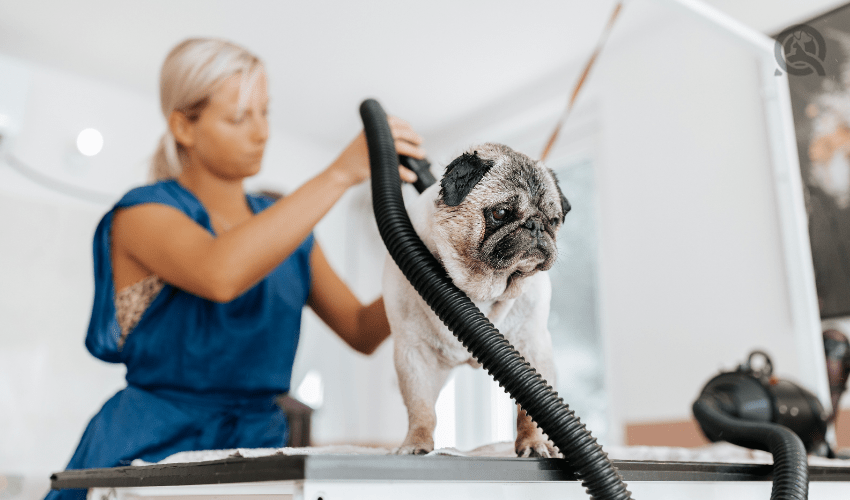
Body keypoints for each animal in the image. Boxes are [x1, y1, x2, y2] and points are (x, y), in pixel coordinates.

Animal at [382, 142, 568, 458]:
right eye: (501, 212)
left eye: (554, 221)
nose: (535, 225)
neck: (482, 287)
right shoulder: (413, 353)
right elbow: (421, 408)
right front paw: (416, 443)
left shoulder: (532, 346)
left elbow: (532, 409)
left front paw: (534, 443)